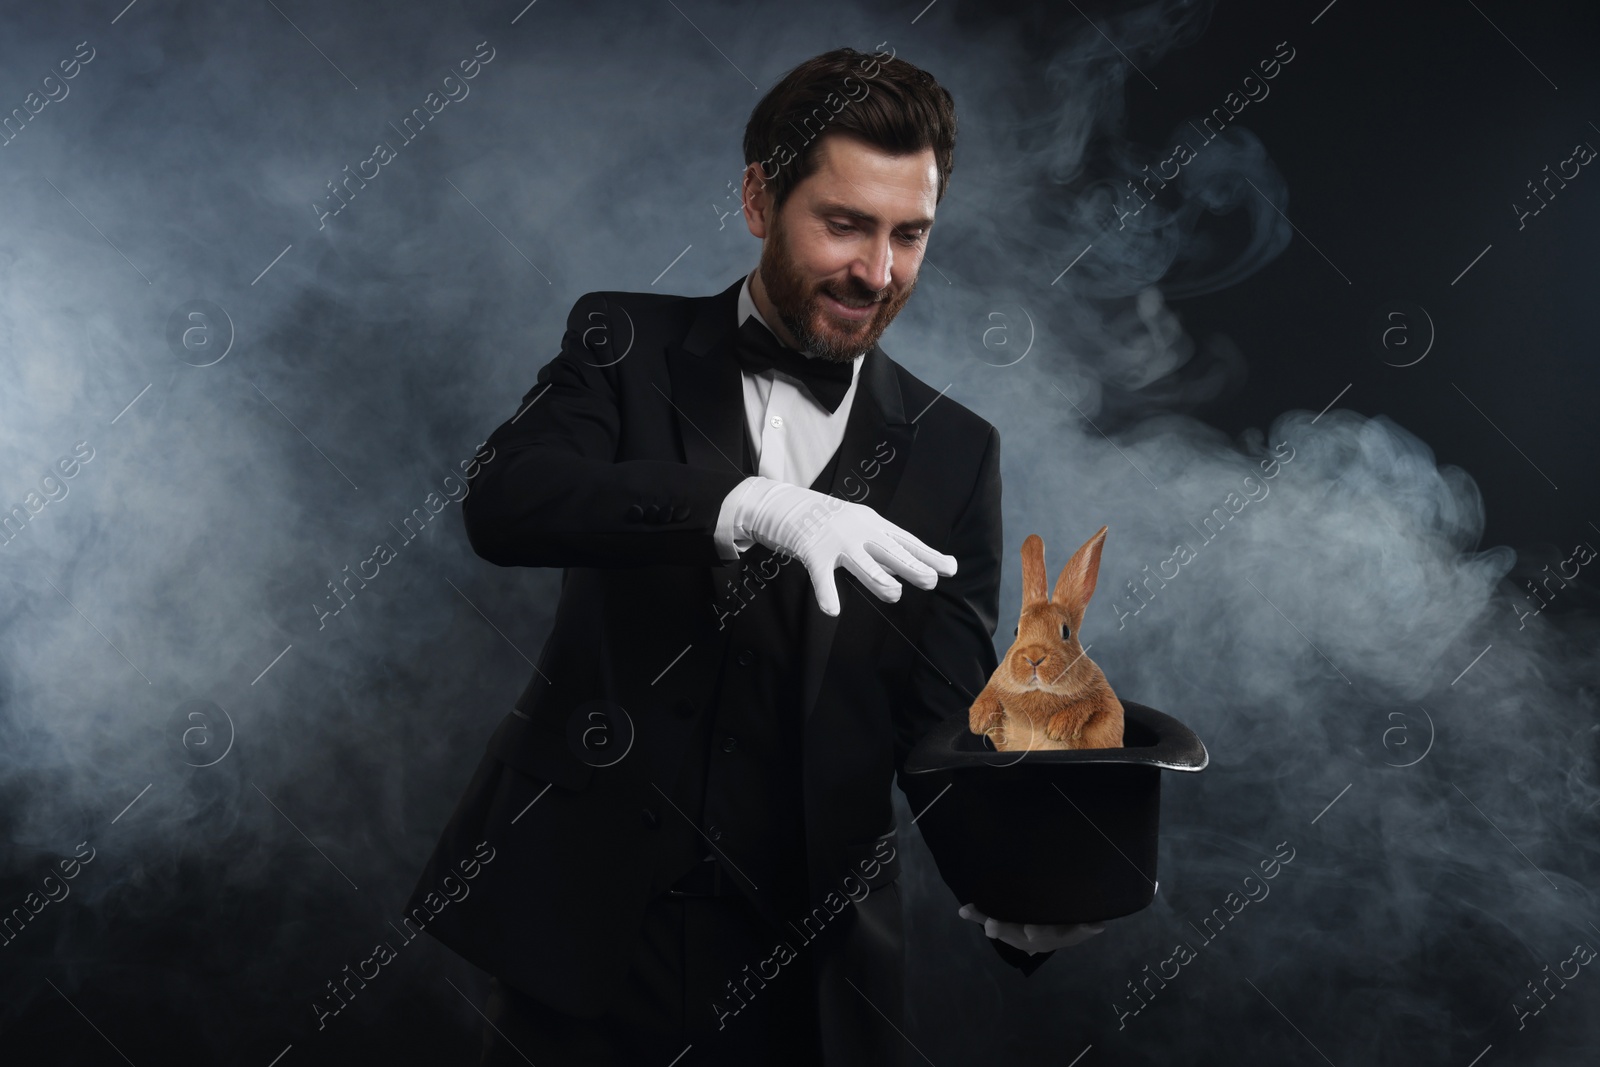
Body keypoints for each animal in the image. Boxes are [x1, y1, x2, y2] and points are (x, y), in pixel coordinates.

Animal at [960, 524, 1126, 751]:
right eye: (1016, 630)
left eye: (1066, 631)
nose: (1034, 657)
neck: (1040, 691)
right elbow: (989, 695)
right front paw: (978, 721)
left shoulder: (1106, 705)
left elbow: (1088, 704)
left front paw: (1059, 728)